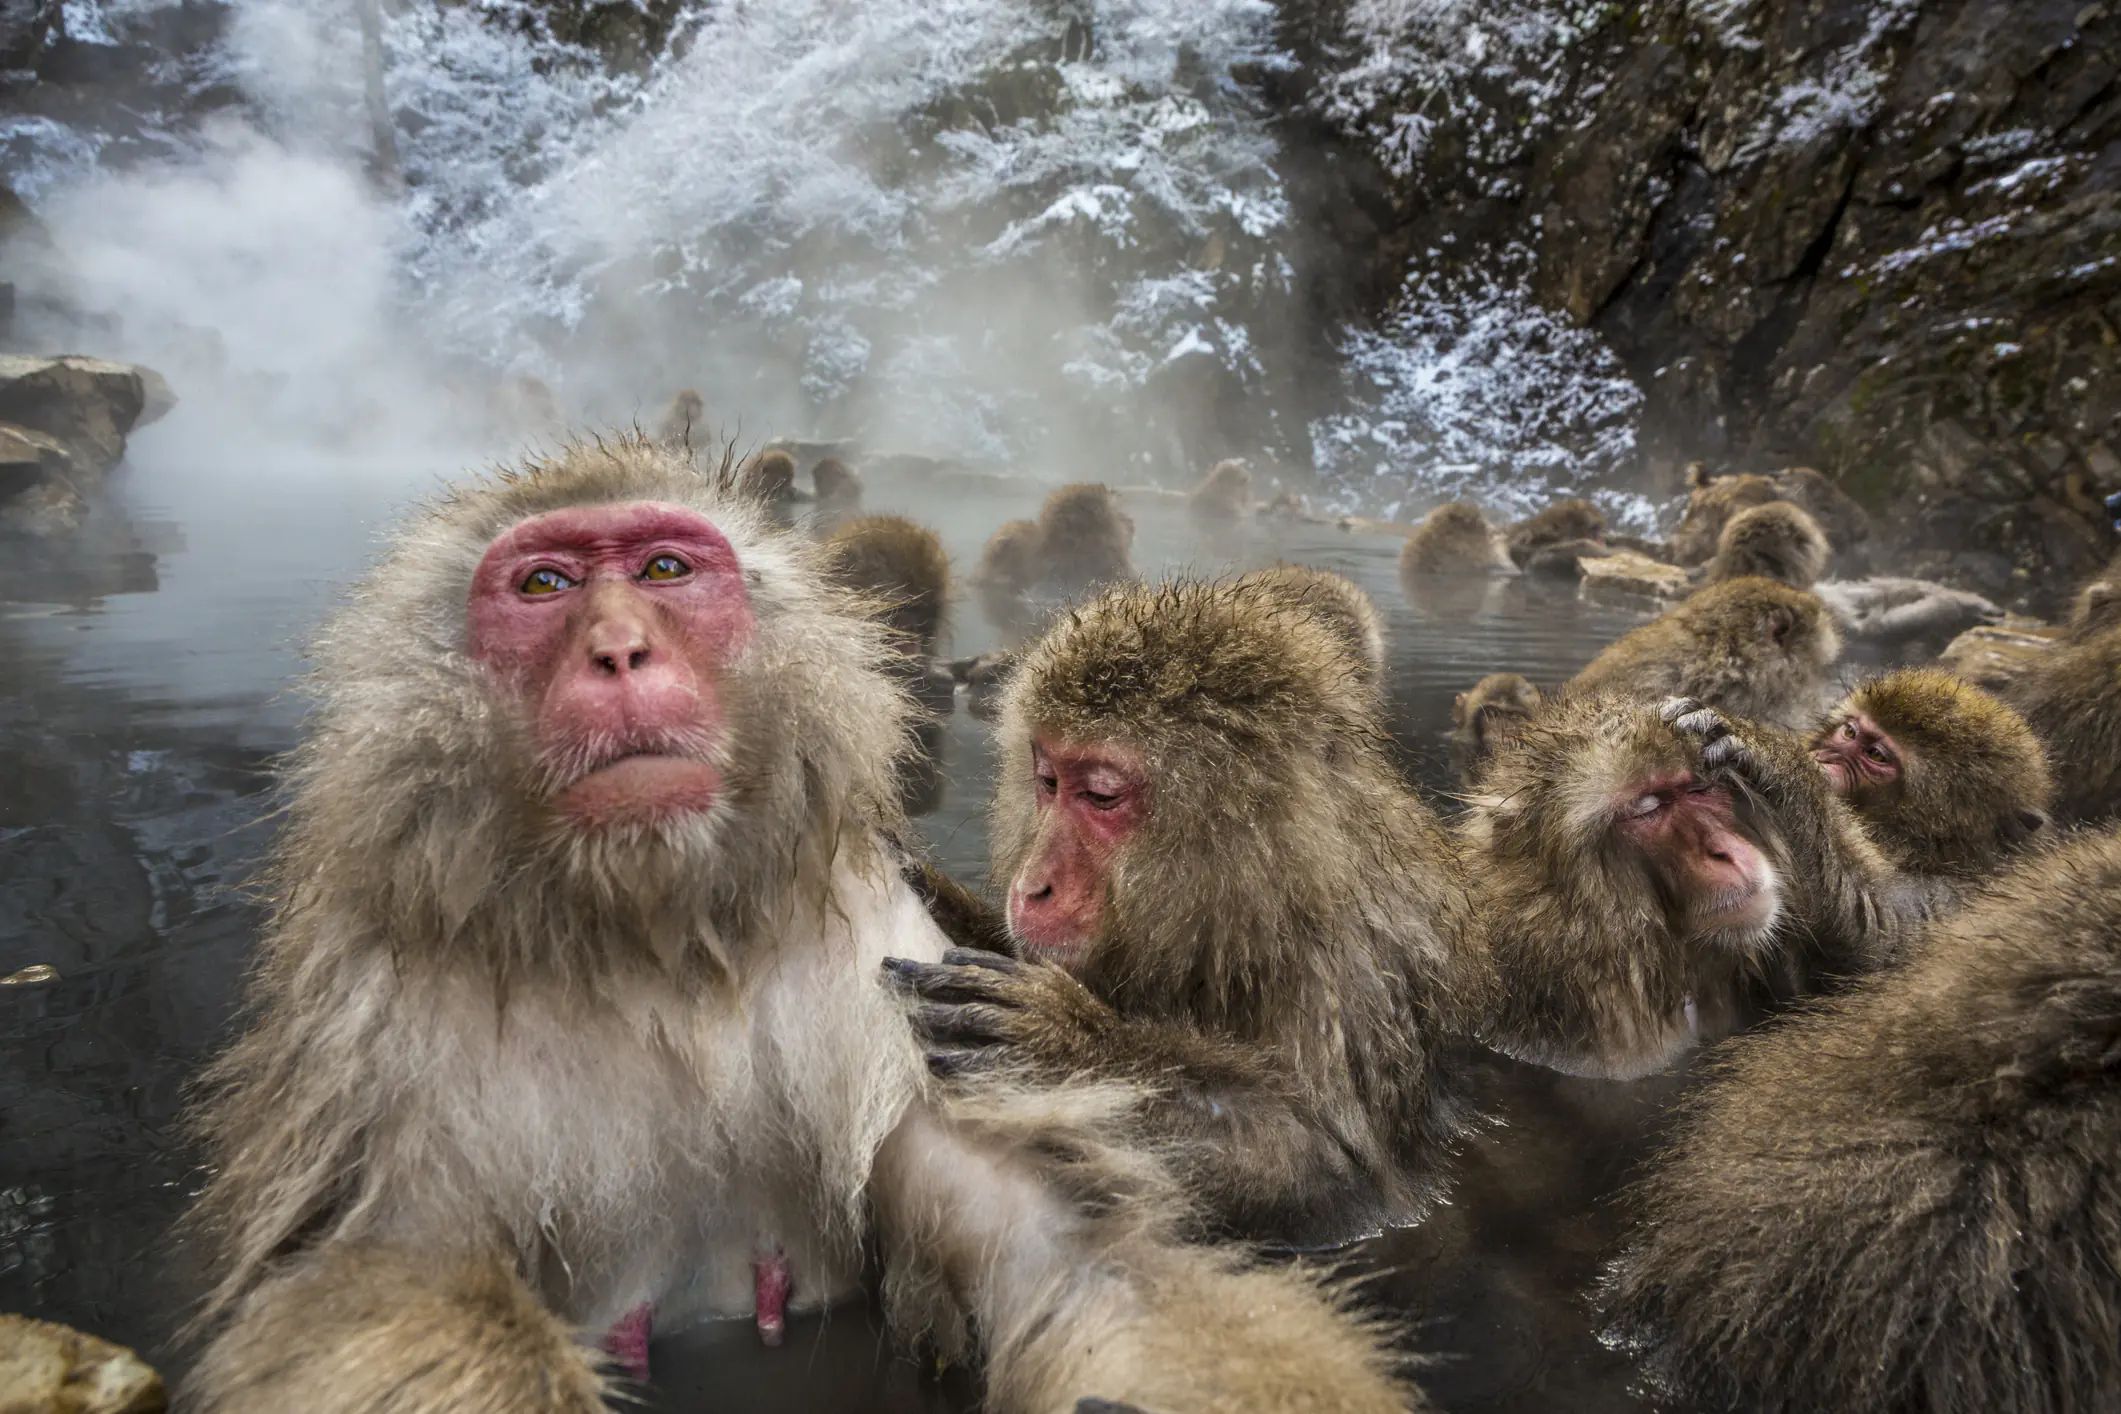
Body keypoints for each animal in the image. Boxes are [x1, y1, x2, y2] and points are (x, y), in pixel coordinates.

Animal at [885, 577, 1489, 1248]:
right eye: (1047, 781)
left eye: (1100, 796)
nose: (1032, 886)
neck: (1258, 902)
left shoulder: (1347, 980)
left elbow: (1339, 1179)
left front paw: (1070, 1051)